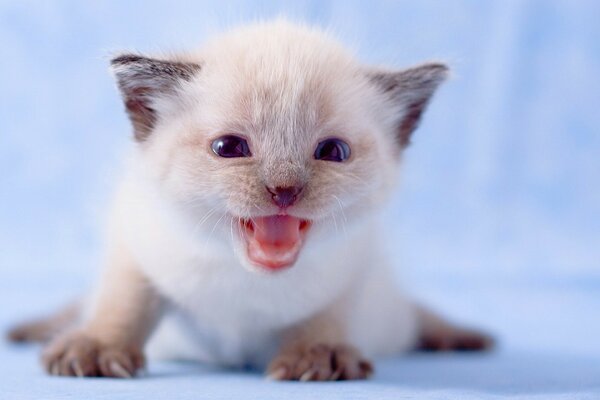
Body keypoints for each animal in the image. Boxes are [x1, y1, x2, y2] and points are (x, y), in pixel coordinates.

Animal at [8, 19, 492, 382]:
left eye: (333, 152)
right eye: (229, 148)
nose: (284, 190)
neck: (245, 277)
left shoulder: (356, 265)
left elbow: (328, 311)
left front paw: (319, 354)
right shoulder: (136, 238)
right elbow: (124, 299)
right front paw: (96, 348)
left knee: (417, 315)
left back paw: (460, 337)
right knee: (78, 305)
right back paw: (35, 330)